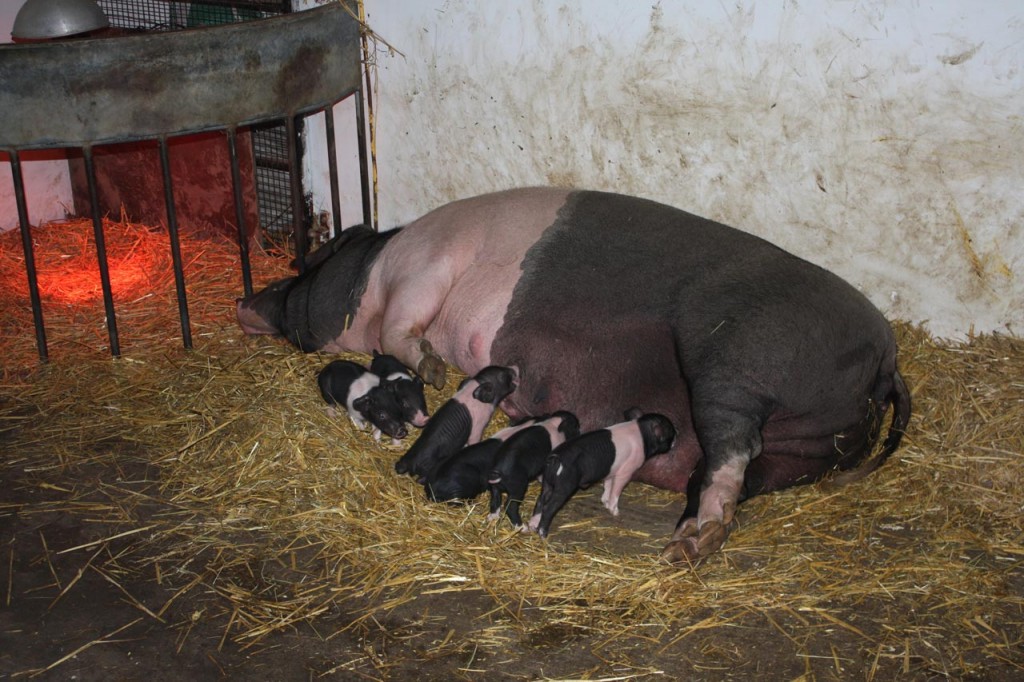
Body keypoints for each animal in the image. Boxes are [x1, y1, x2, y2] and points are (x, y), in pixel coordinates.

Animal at [528, 409, 679, 536]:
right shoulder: (625, 472)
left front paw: (604, 502)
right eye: (670, 431)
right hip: (564, 486)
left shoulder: (611, 470)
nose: (677, 434)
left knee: (540, 501)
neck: (643, 434)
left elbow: (607, 486)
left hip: (547, 482)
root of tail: (555, 458)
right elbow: (616, 491)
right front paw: (615, 512)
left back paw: (531, 526)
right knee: (549, 507)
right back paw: (543, 533)